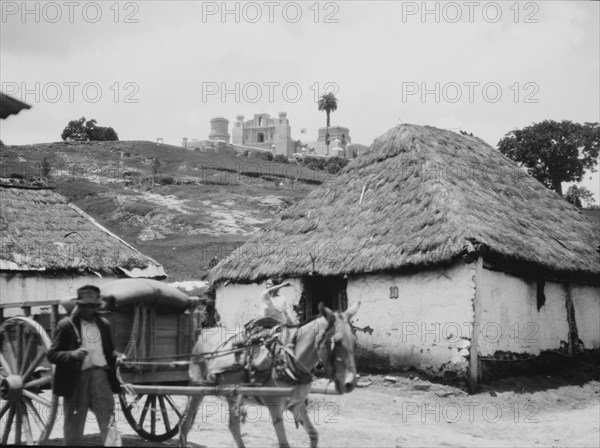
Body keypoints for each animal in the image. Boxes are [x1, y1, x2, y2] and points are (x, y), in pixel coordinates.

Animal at [176, 300, 358, 448]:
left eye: (354, 341)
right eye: (336, 342)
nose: (350, 383)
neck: (288, 359)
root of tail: (202, 335)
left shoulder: (297, 404)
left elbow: (314, 435)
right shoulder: (275, 406)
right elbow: (284, 443)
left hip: (232, 394)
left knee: (233, 426)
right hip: (197, 389)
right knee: (185, 423)